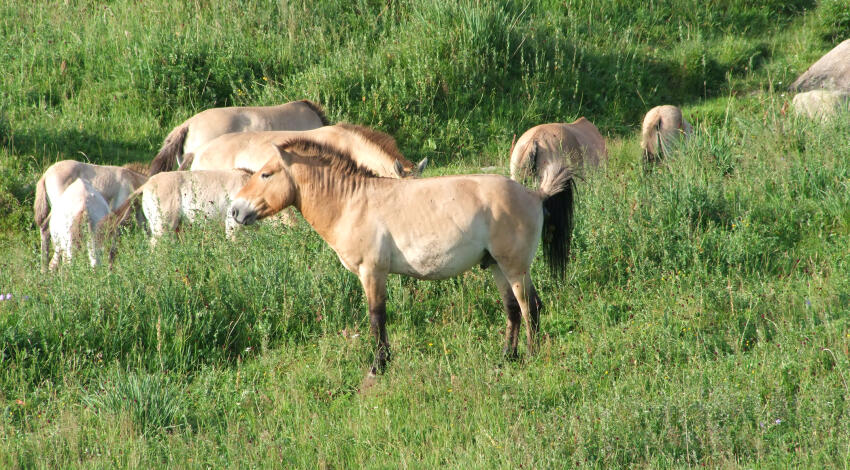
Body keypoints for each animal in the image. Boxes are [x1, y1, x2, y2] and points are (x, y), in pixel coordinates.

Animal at [229, 139, 575, 375]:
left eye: (266, 174)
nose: (234, 211)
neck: (352, 202)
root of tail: (535, 195)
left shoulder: (372, 272)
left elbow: (376, 318)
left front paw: (378, 366)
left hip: (514, 268)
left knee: (530, 307)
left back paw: (530, 357)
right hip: (497, 267)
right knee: (513, 310)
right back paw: (506, 357)